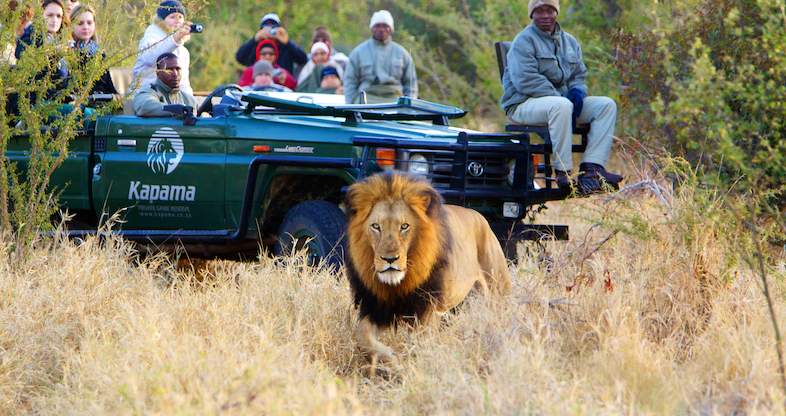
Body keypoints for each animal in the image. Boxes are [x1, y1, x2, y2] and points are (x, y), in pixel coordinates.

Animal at [344, 172, 508, 360]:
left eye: (404, 226)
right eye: (376, 226)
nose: (390, 259)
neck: (398, 284)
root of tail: (480, 216)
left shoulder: (427, 310)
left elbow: (420, 344)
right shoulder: (376, 308)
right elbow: (361, 336)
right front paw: (389, 356)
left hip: (497, 289)